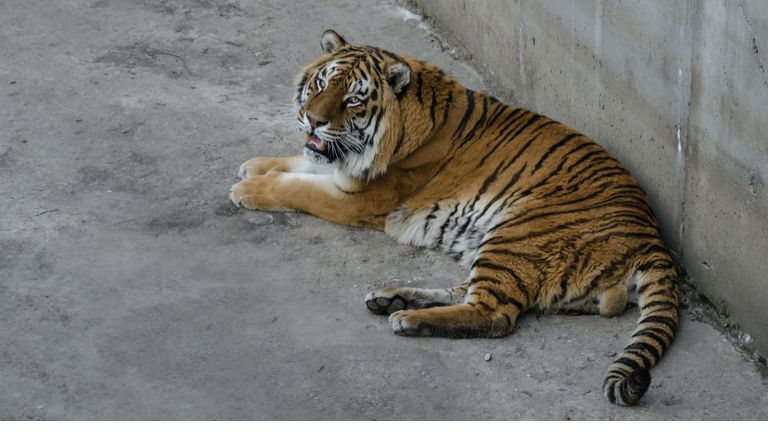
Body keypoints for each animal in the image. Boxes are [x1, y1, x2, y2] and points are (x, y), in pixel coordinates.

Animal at [228, 29, 680, 404]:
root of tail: (652, 239)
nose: (313, 119)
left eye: (352, 99)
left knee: (494, 314)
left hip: (518, 234)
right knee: (467, 293)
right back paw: (393, 298)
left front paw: (247, 189)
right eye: (321, 84)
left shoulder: (359, 198)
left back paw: (407, 318)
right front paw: (254, 165)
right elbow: (300, 162)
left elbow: (298, 187)